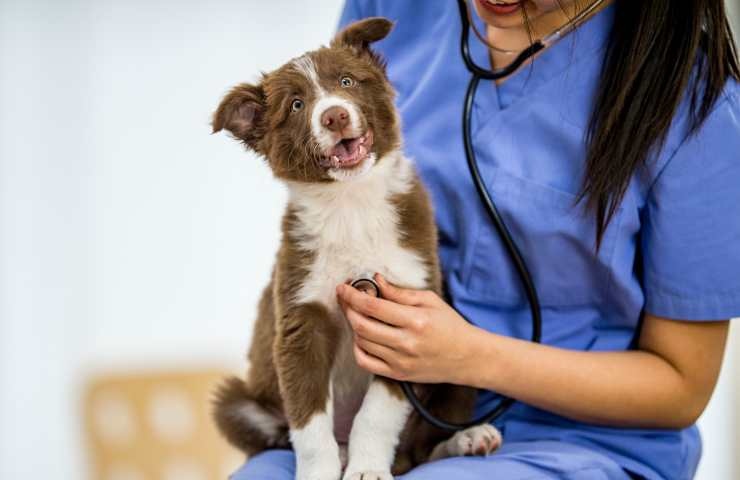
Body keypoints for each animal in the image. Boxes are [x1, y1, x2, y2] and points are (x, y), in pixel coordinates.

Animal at [212, 17, 502, 480]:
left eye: (346, 81)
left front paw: (368, 469)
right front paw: (321, 472)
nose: (334, 115)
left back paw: (467, 439)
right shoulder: (302, 320)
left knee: (421, 448)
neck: (351, 205)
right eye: (297, 105)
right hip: (236, 401)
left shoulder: (405, 316)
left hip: (459, 353)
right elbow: (309, 423)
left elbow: (377, 413)